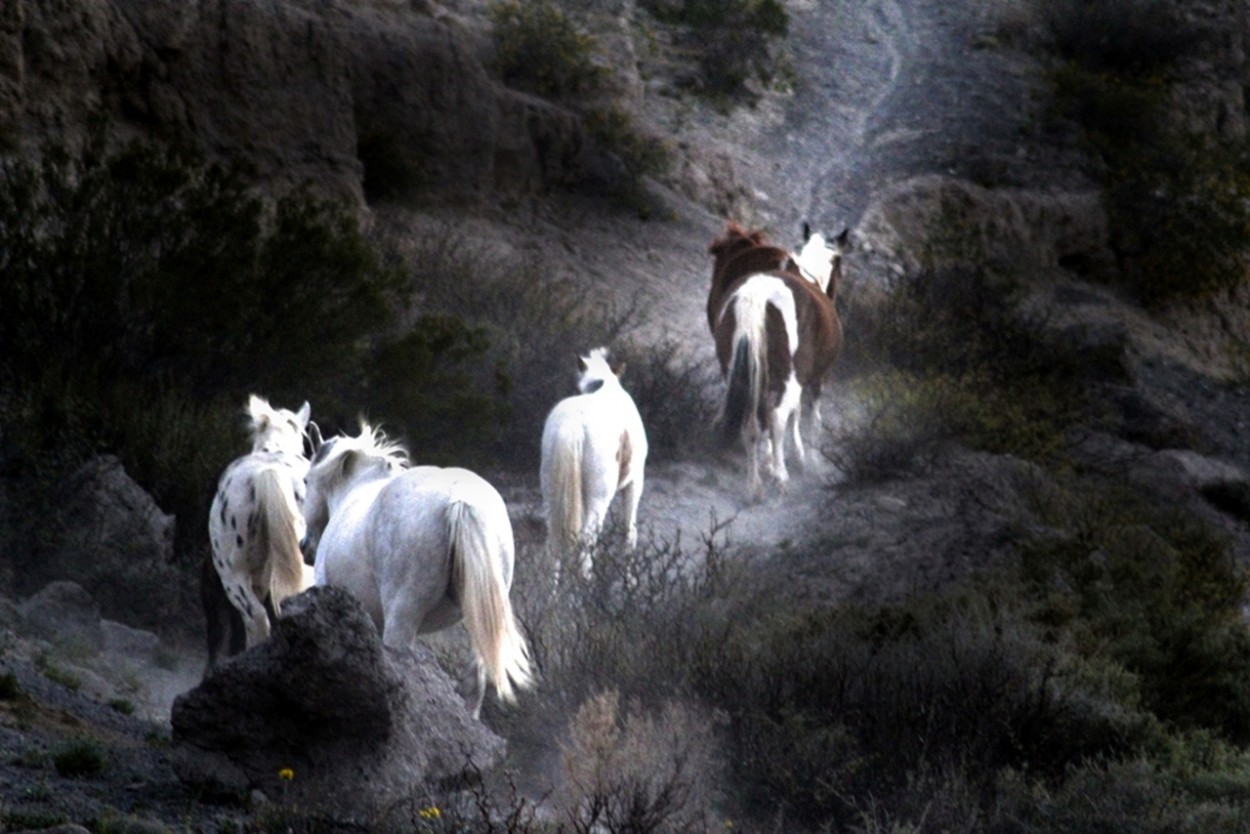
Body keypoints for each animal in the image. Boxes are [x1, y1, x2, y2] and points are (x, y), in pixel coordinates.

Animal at [307, 425, 537, 720]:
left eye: (305, 481)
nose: (304, 546)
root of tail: (460, 499)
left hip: (402, 620)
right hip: (478, 624)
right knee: (475, 683)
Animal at [540, 350, 650, 577]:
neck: (604, 384)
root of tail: (574, 424)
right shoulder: (635, 482)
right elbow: (629, 531)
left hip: (551, 492)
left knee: (553, 542)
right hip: (598, 498)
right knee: (586, 540)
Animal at [710, 221, 845, 495]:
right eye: (840, 268)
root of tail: (756, 296)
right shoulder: (817, 378)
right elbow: (810, 417)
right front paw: (808, 460)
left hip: (738, 370)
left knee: (751, 422)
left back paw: (755, 485)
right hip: (788, 379)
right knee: (776, 416)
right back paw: (779, 476)